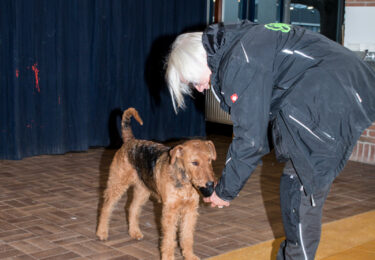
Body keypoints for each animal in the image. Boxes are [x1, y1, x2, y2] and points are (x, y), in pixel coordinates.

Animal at [96, 107, 217, 260]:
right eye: (194, 162)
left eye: (209, 160)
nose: (210, 184)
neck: (184, 181)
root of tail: (130, 140)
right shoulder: (170, 211)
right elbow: (169, 238)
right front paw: (169, 257)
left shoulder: (190, 210)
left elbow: (187, 236)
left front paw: (190, 255)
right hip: (118, 183)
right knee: (106, 206)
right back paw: (102, 232)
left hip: (142, 190)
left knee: (132, 208)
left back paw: (134, 232)